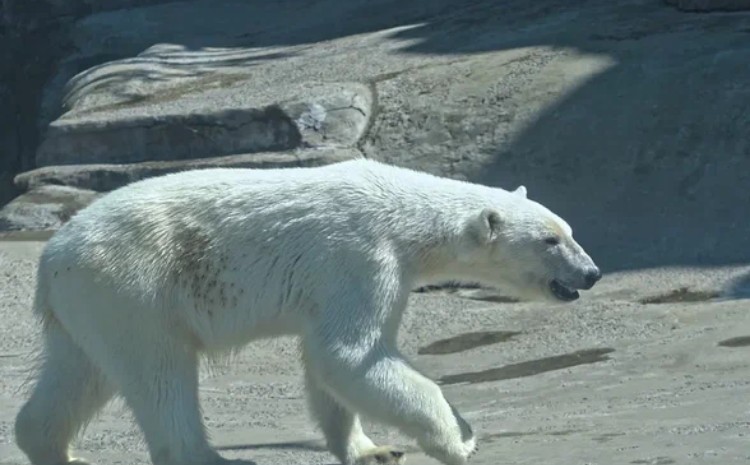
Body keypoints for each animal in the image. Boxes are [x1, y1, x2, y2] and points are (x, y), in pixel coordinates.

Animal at [14, 158, 604, 464]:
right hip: (134, 283)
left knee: (81, 373)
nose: (592, 273)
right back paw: (212, 458)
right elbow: (350, 354)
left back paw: (55, 450)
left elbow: (334, 366)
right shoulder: (361, 254)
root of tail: (51, 255)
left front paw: (373, 449)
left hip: (87, 300)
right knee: (159, 372)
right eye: (551, 240)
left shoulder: (373, 273)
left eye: (569, 230)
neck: (403, 210)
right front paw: (459, 438)